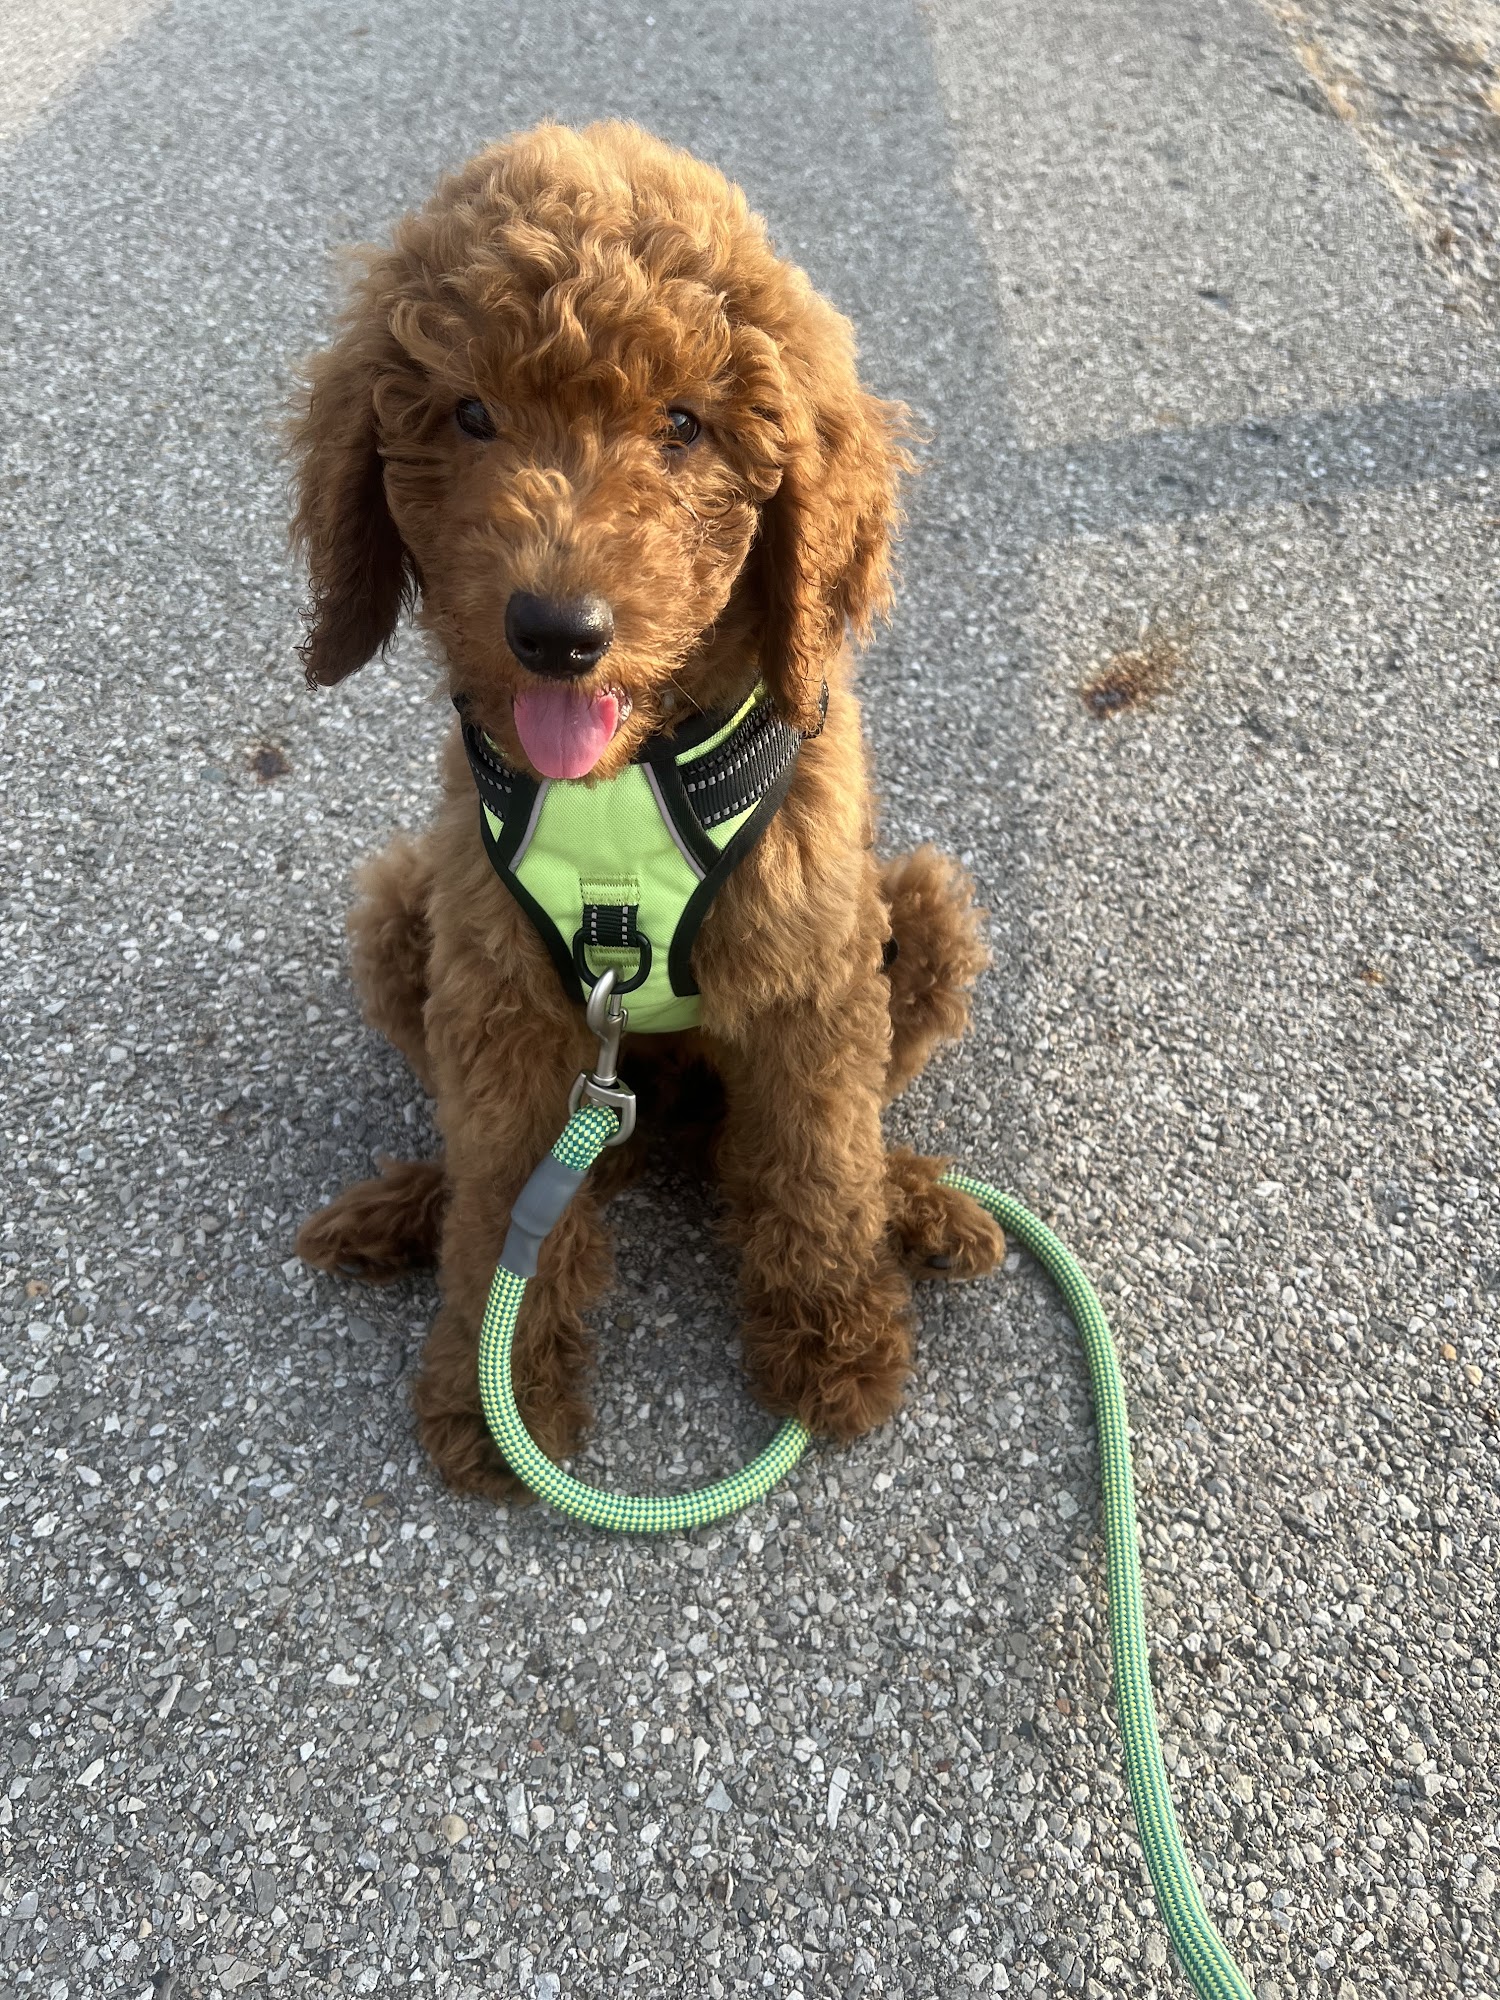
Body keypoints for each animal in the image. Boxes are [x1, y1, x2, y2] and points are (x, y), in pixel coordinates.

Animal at [290, 121, 1004, 1504]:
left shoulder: (812, 978)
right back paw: (405, 1207)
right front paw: (494, 1394)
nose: (557, 632)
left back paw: (918, 1204)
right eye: (470, 414)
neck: (621, 789)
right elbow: (503, 1200)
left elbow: (817, 1163)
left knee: (809, 1142)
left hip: (918, 910)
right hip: (404, 910)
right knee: (503, 1168)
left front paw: (834, 1348)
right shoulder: (502, 1001)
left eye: (682, 426)